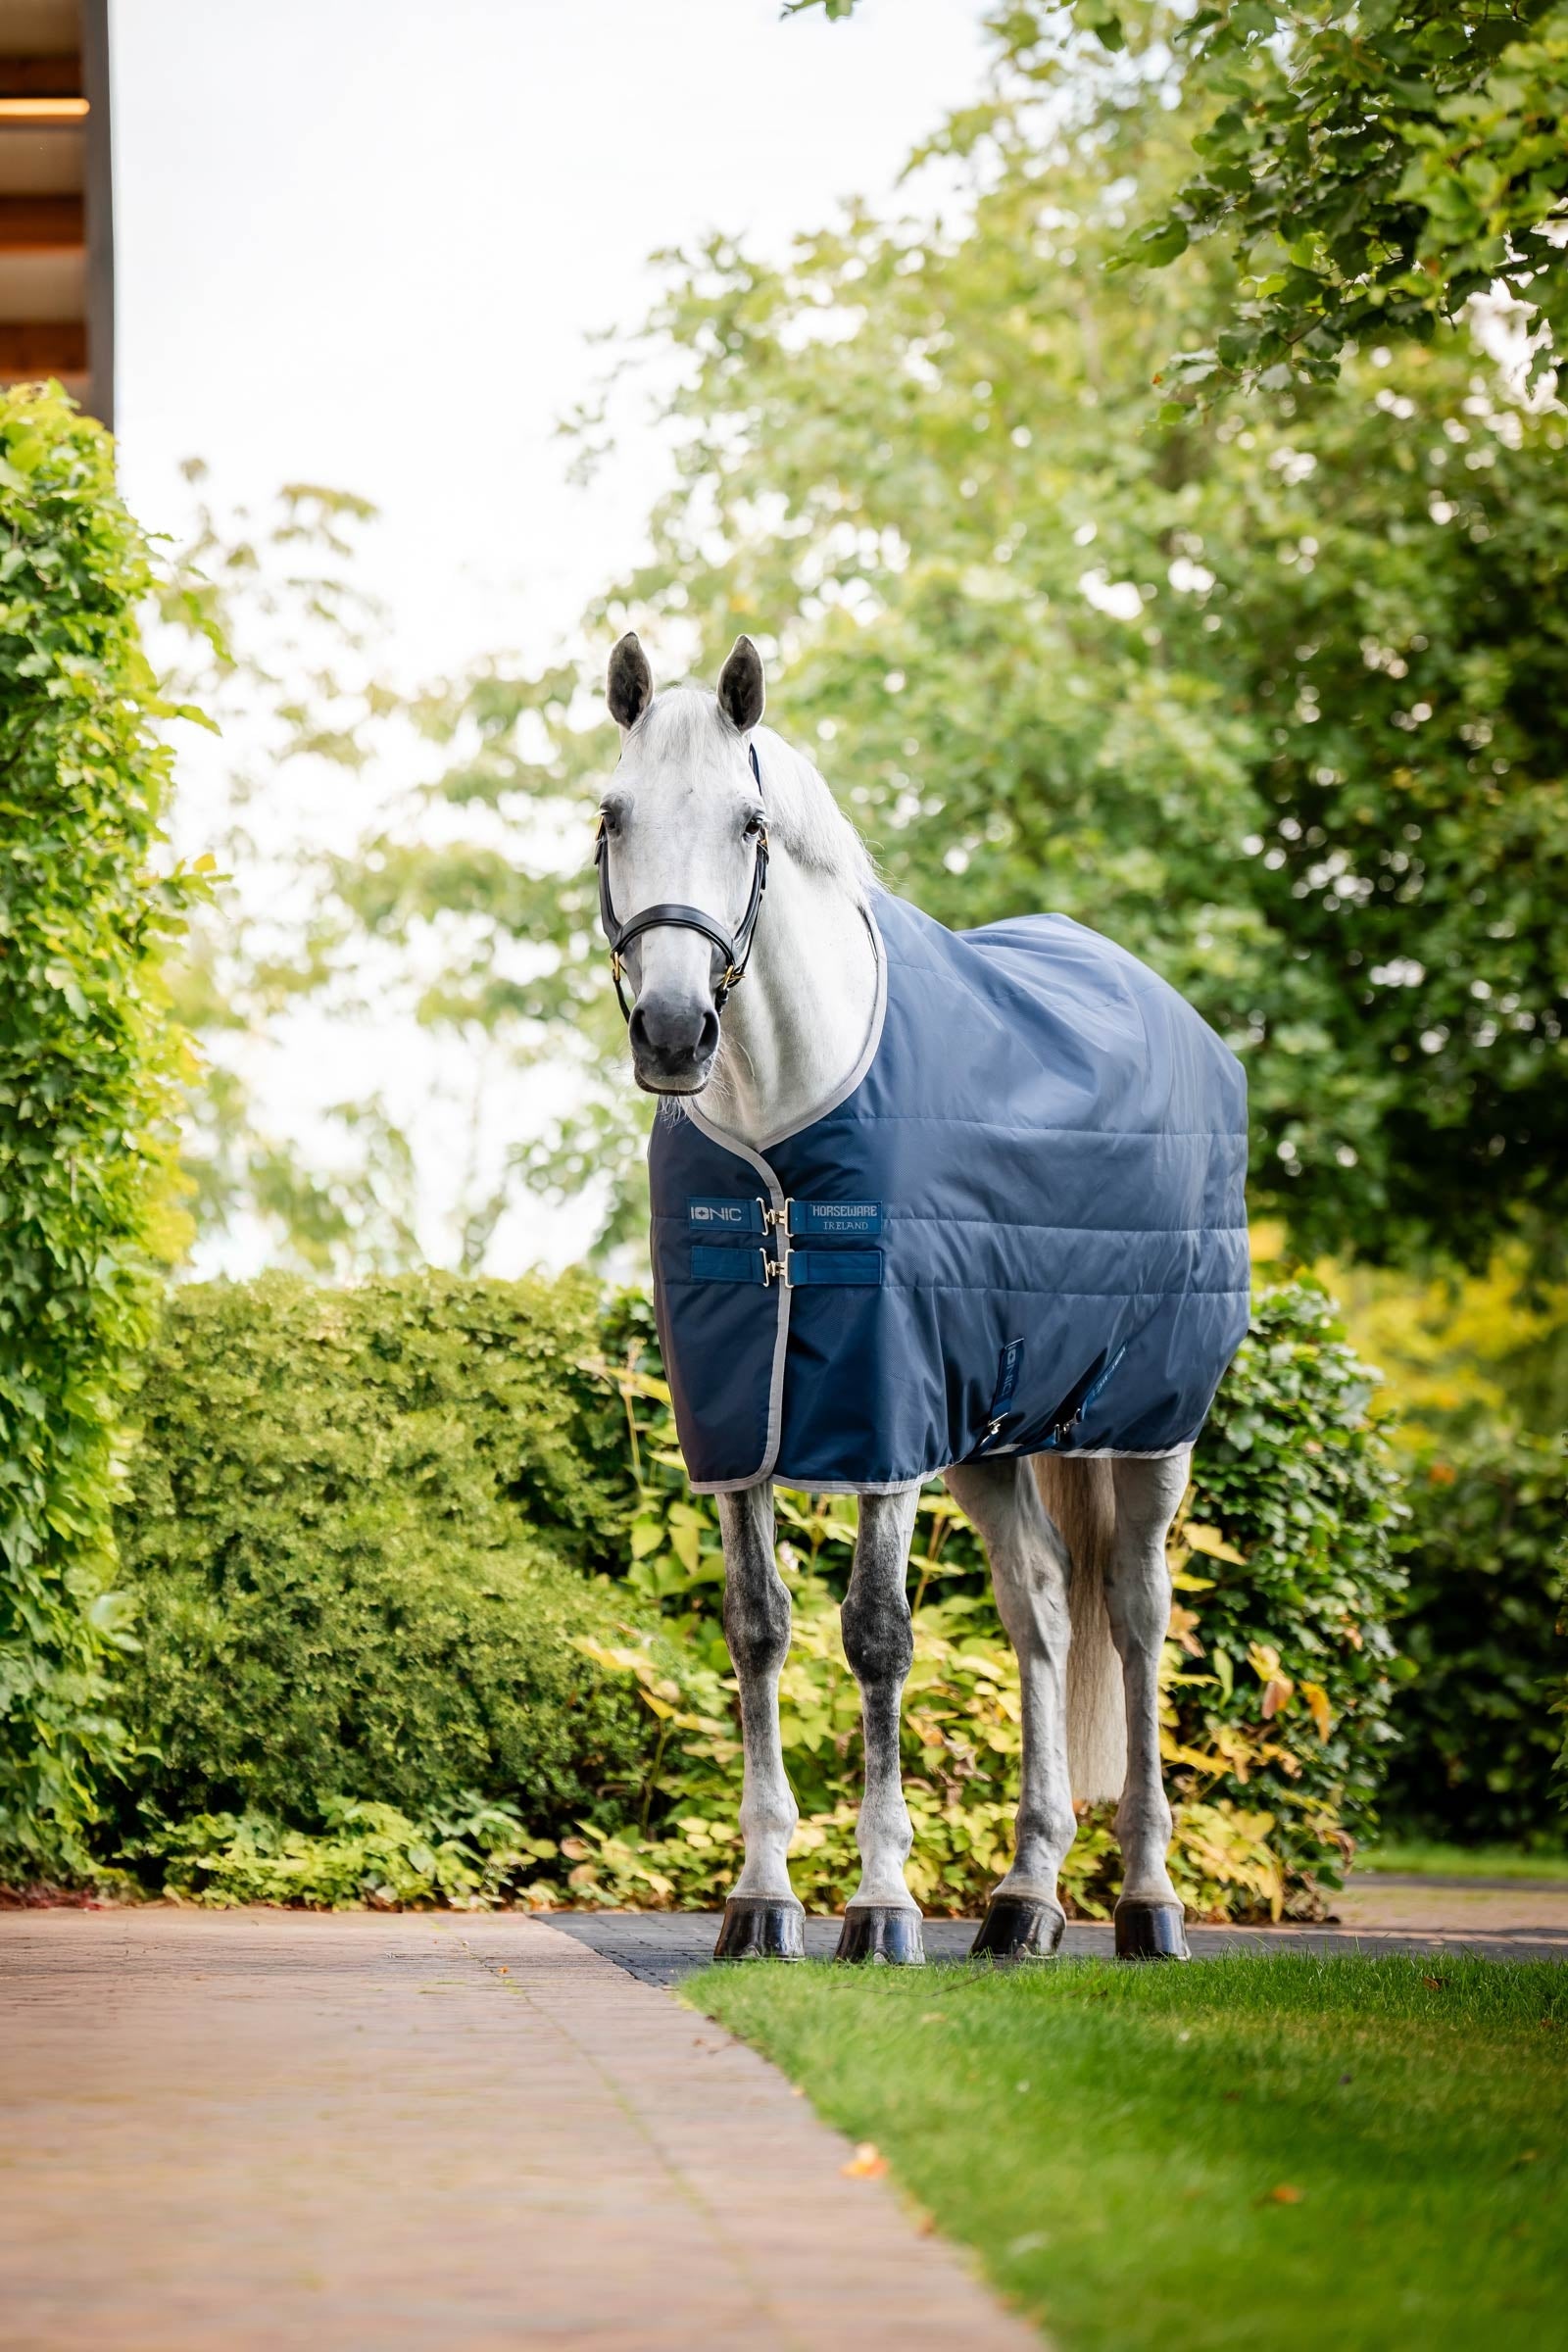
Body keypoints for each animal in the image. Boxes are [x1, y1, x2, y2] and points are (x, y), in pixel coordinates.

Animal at [594, 630, 1250, 1965]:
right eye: (611, 816)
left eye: (748, 822)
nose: (676, 1032)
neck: (780, 1139)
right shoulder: (741, 1423)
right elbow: (757, 1625)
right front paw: (761, 1899)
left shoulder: (882, 1418)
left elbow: (877, 1636)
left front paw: (881, 1904)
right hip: (995, 1433)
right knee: (1042, 1610)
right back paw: (1022, 1900)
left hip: (1153, 1426)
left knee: (1137, 1615)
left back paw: (1146, 1900)